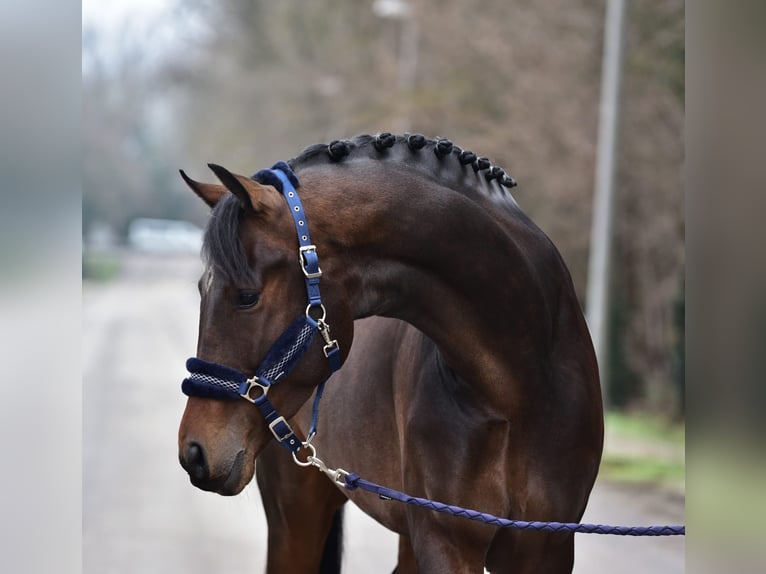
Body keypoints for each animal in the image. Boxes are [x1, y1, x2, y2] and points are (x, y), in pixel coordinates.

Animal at [177, 133, 604, 573]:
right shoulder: (445, 541)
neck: (517, 386)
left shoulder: (545, 548)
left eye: (246, 297)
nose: (194, 452)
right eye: (201, 289)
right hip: (296, 518)